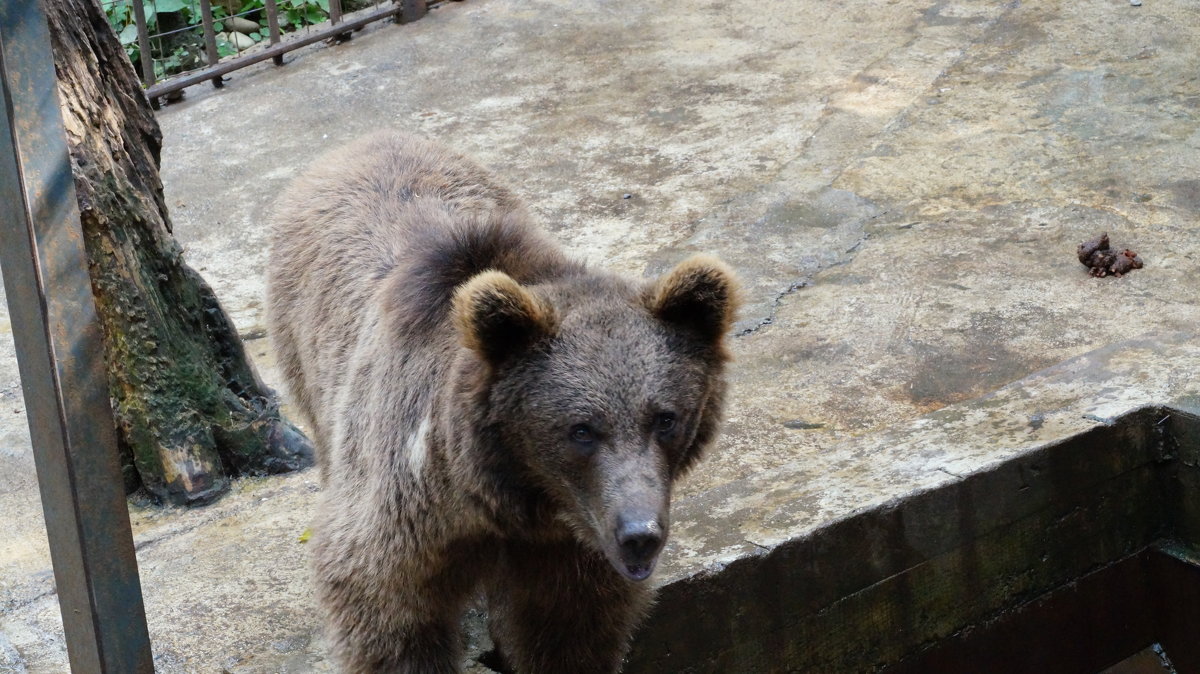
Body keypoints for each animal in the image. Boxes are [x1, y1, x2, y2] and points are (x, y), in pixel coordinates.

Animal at [270, 132, 739, 671]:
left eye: (665, 419)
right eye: (581, 429)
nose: (640, 533)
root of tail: (361, 143)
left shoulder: (567, 544)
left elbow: (567, 630)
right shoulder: (405, 514)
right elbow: (387, 612)